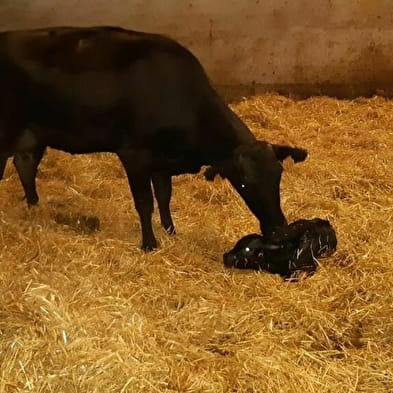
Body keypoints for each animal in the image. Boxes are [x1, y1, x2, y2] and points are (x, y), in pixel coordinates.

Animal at [0, 26, 304, 250]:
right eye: (243, 183)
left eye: (278, 176)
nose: (279, 231)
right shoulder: (134, 155)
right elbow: (145, 202)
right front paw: (149, 243)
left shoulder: (162, 161)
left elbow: (164, 196)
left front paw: (170, 230)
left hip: (33, 133)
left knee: (25, 165)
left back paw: (34, 206)